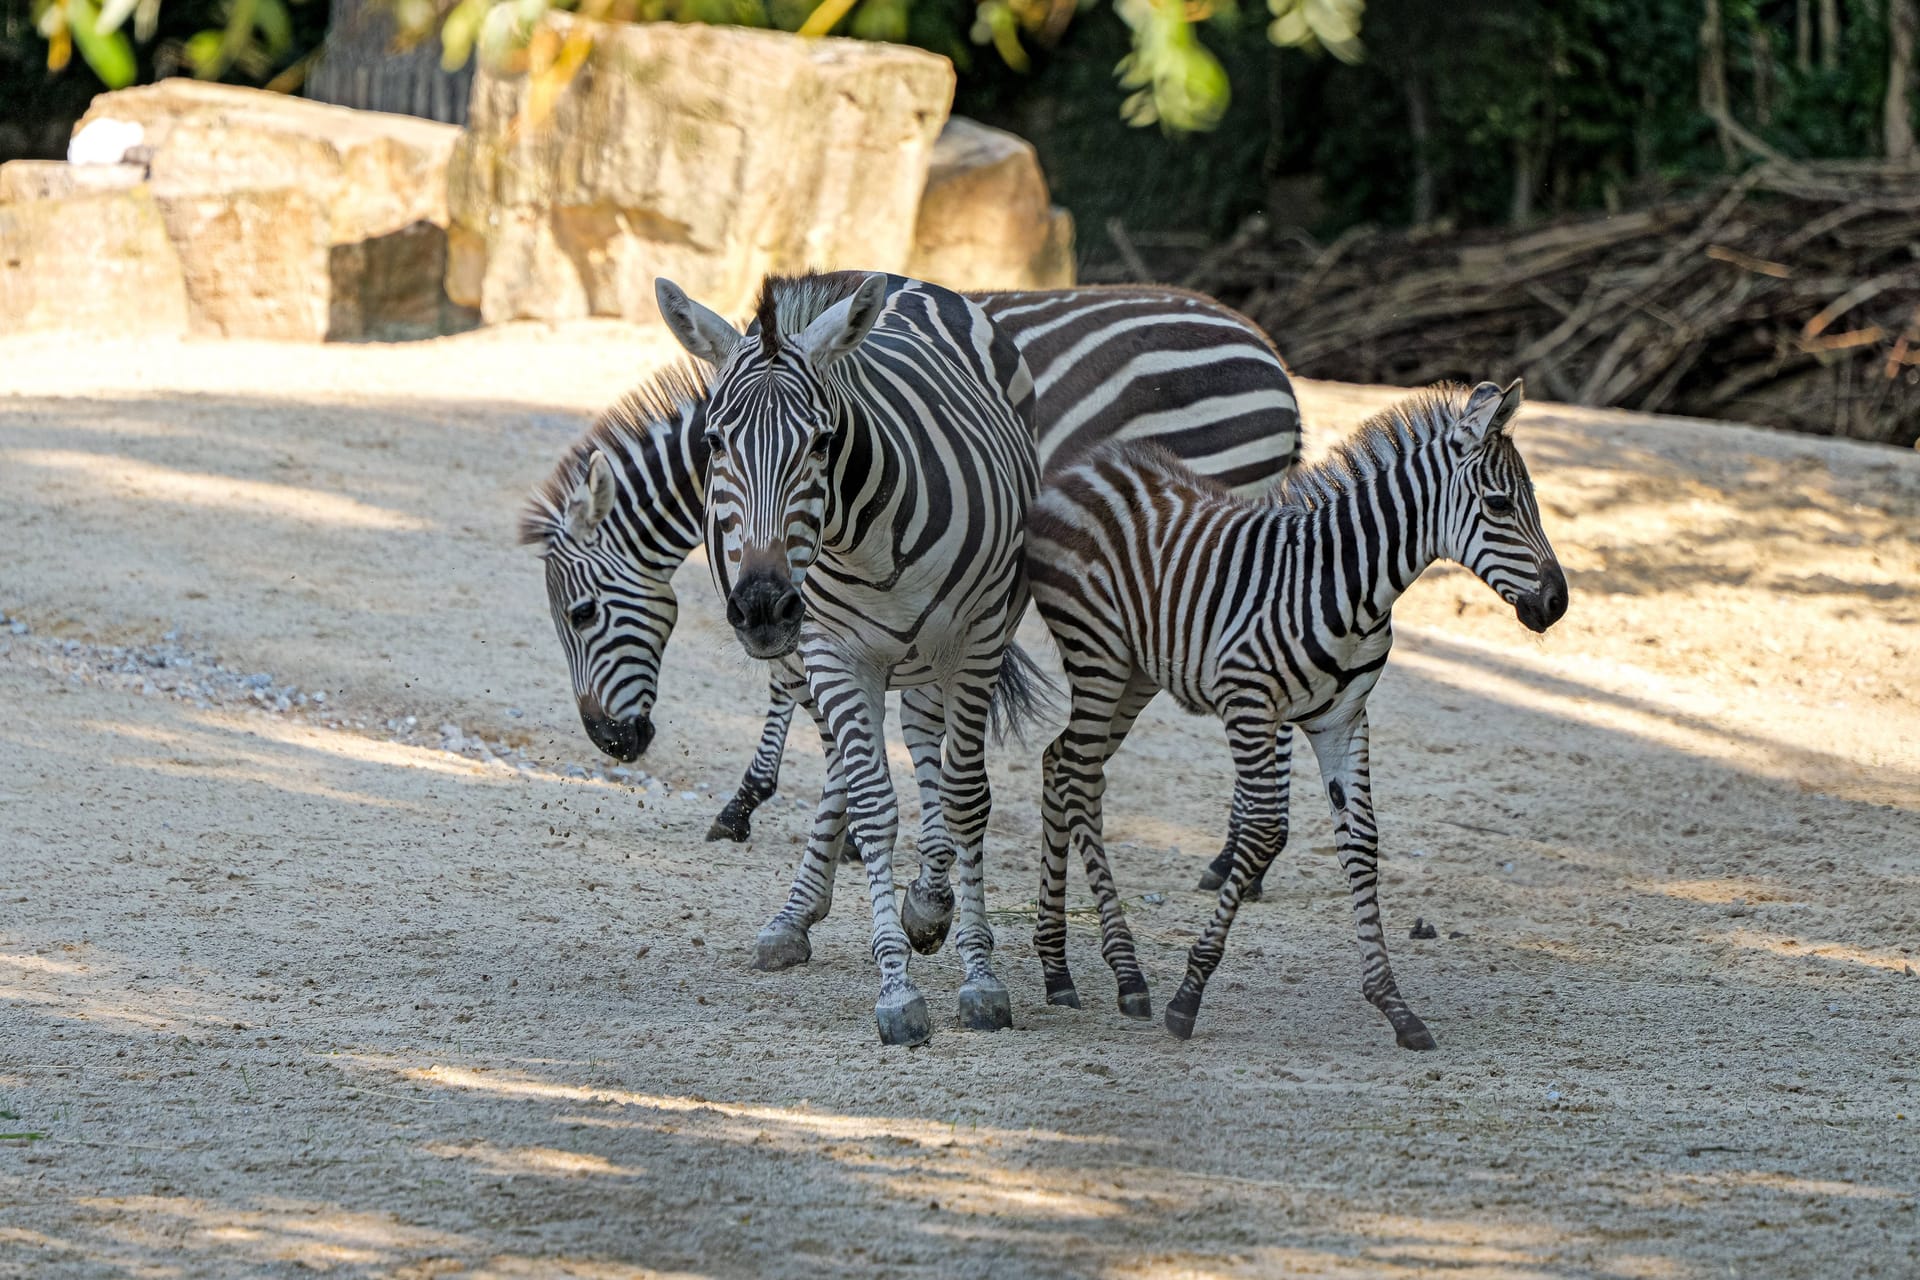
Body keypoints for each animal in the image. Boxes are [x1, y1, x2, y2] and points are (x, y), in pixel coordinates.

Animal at [1029, 378, 1566, 1051]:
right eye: (1498, 504)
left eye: (1534, 502)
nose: (1559, 602)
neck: (1355, 587)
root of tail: (1086, 465)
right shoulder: (1249, 704)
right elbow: (1261, 831)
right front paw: (1189, 994)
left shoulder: (1343, 720)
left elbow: (1361, 841)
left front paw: (1394, 1005)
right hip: (1096, 653)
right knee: (1077, 775)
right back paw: (1124, 975)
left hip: (1135, 673)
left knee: (1062, 764)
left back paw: (1059, 970)